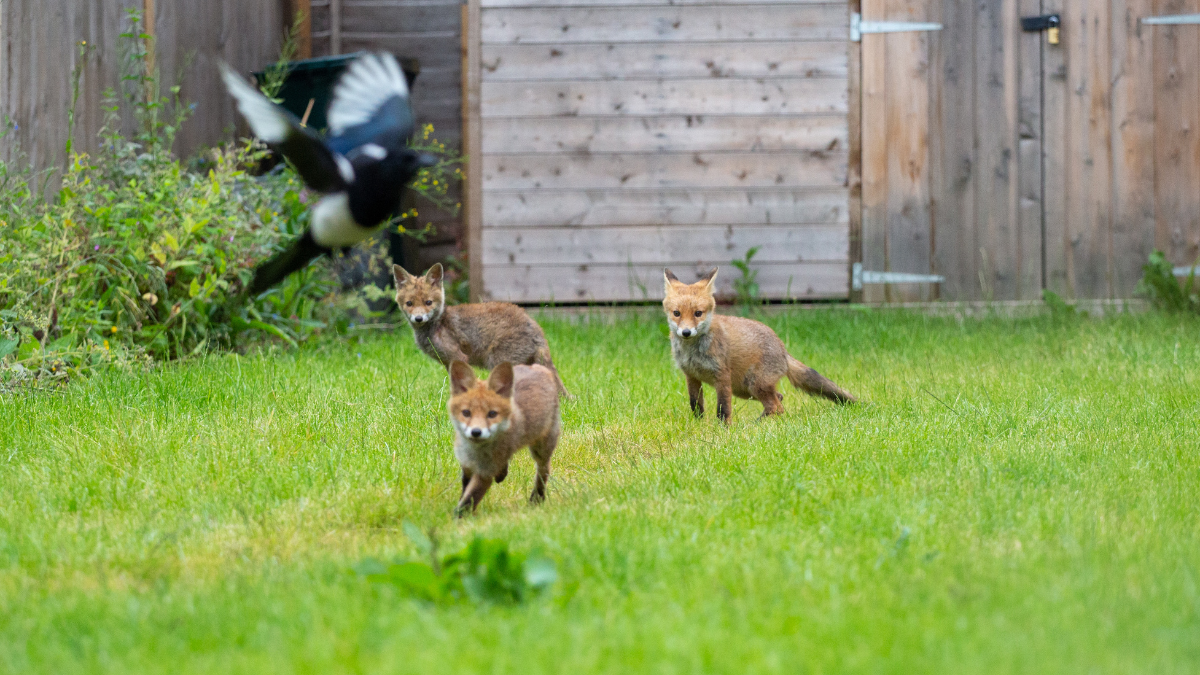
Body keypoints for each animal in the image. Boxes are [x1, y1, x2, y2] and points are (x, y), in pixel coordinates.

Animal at [388, 263, 566, 396]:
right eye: (409, 303)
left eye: (428, 302)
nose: (418, 318)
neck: (438, 323)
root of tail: (534, 325)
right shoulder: (447, 361)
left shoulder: (457, 356)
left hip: (499, 361)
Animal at [451, 360, 561, 511]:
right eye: (466, 413)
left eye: (492, 414)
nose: (476, 432)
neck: (475, 452)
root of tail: (537, 367)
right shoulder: (466, 466)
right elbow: (464, 492)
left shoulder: (485, 474)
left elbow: (468, 501)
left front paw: (457, 516)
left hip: (541, 449)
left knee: (543, 470)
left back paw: (537, 498)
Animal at [667, 266, 854, 420]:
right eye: (677, 313)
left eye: (698, 313)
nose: (686, 332)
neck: (692, 352)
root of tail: (783, 349)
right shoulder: (691, 376)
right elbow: (696, 405)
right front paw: (698, 424)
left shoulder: (722, 376)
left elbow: (723, 409)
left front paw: (723, 431)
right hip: (744, 390)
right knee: (779, 398)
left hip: (754, 384)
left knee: (777, 407)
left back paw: (755, 424)